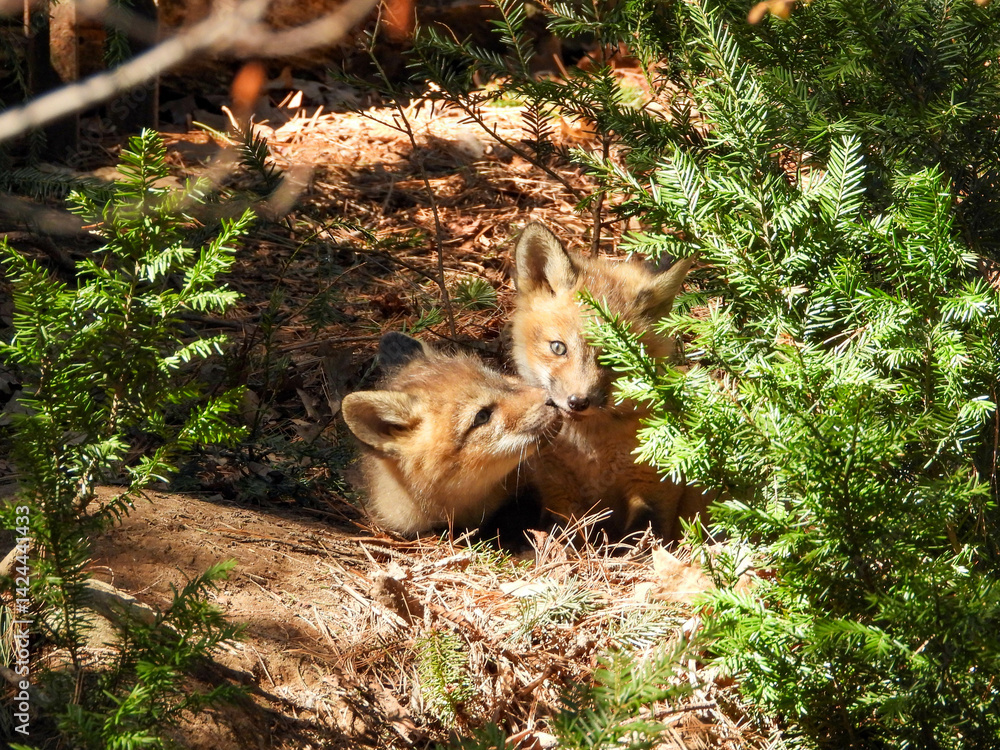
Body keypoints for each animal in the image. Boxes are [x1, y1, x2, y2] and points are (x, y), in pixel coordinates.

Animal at [510, 222, 709, 539]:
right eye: (558, 348)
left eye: (617, 359)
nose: (578, 402)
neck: (593, 454)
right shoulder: (557, 490)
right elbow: (564, 534)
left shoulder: (657, 485)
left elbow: (645, 535)